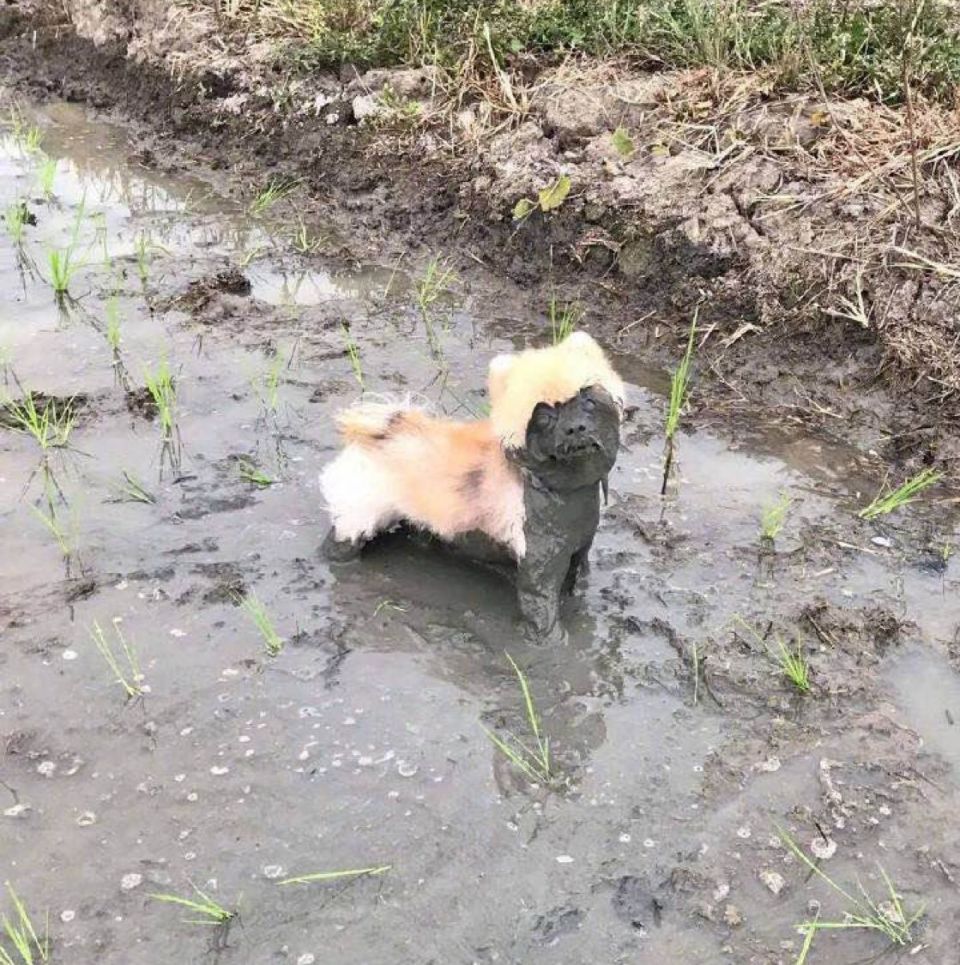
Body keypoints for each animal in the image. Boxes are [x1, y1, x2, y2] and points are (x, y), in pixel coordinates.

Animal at [320, 331, 624, 640]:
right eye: (544, 417)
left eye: (588, 400)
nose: (575, 428)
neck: (560, 489)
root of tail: (382, 432)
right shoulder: (540, 565)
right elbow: (542, 608)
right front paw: (552, 643)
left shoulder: (578, 550)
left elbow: (577, 582)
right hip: (359, 513)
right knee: (342, 539)